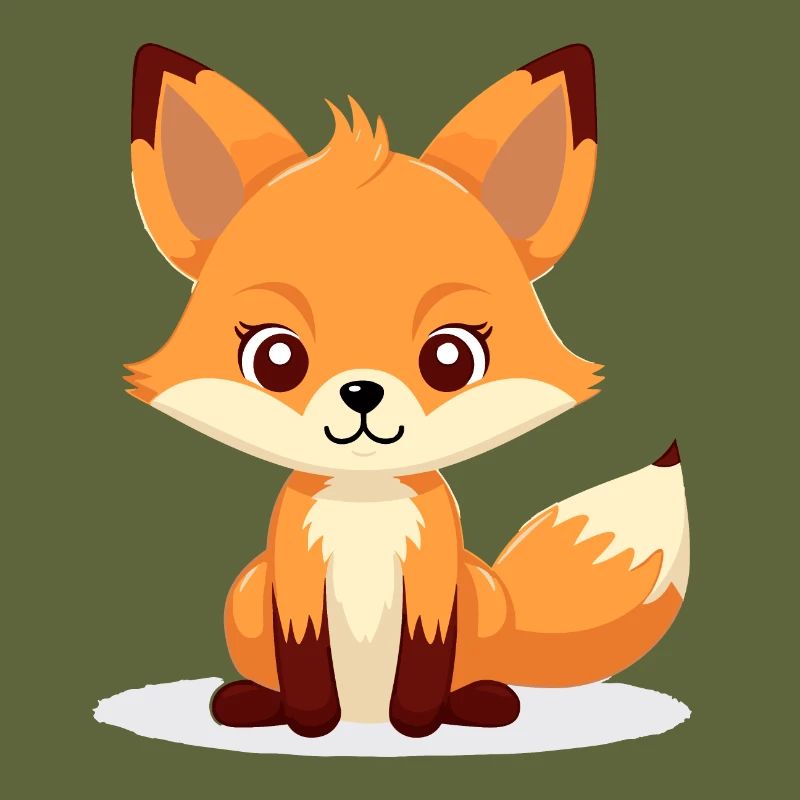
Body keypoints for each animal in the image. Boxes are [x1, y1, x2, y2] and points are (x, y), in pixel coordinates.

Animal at [125, 42, 690, 738]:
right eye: (275, 356)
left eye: (452, 356)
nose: (362, 393)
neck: (365, 505)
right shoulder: (292, 575)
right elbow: (303, 658)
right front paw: (312, 725)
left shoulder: (436, 576)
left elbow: (425, 657)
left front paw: (417, 726)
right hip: (247, 593)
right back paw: (252, 704)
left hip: (480, 596)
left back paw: (481, 702)